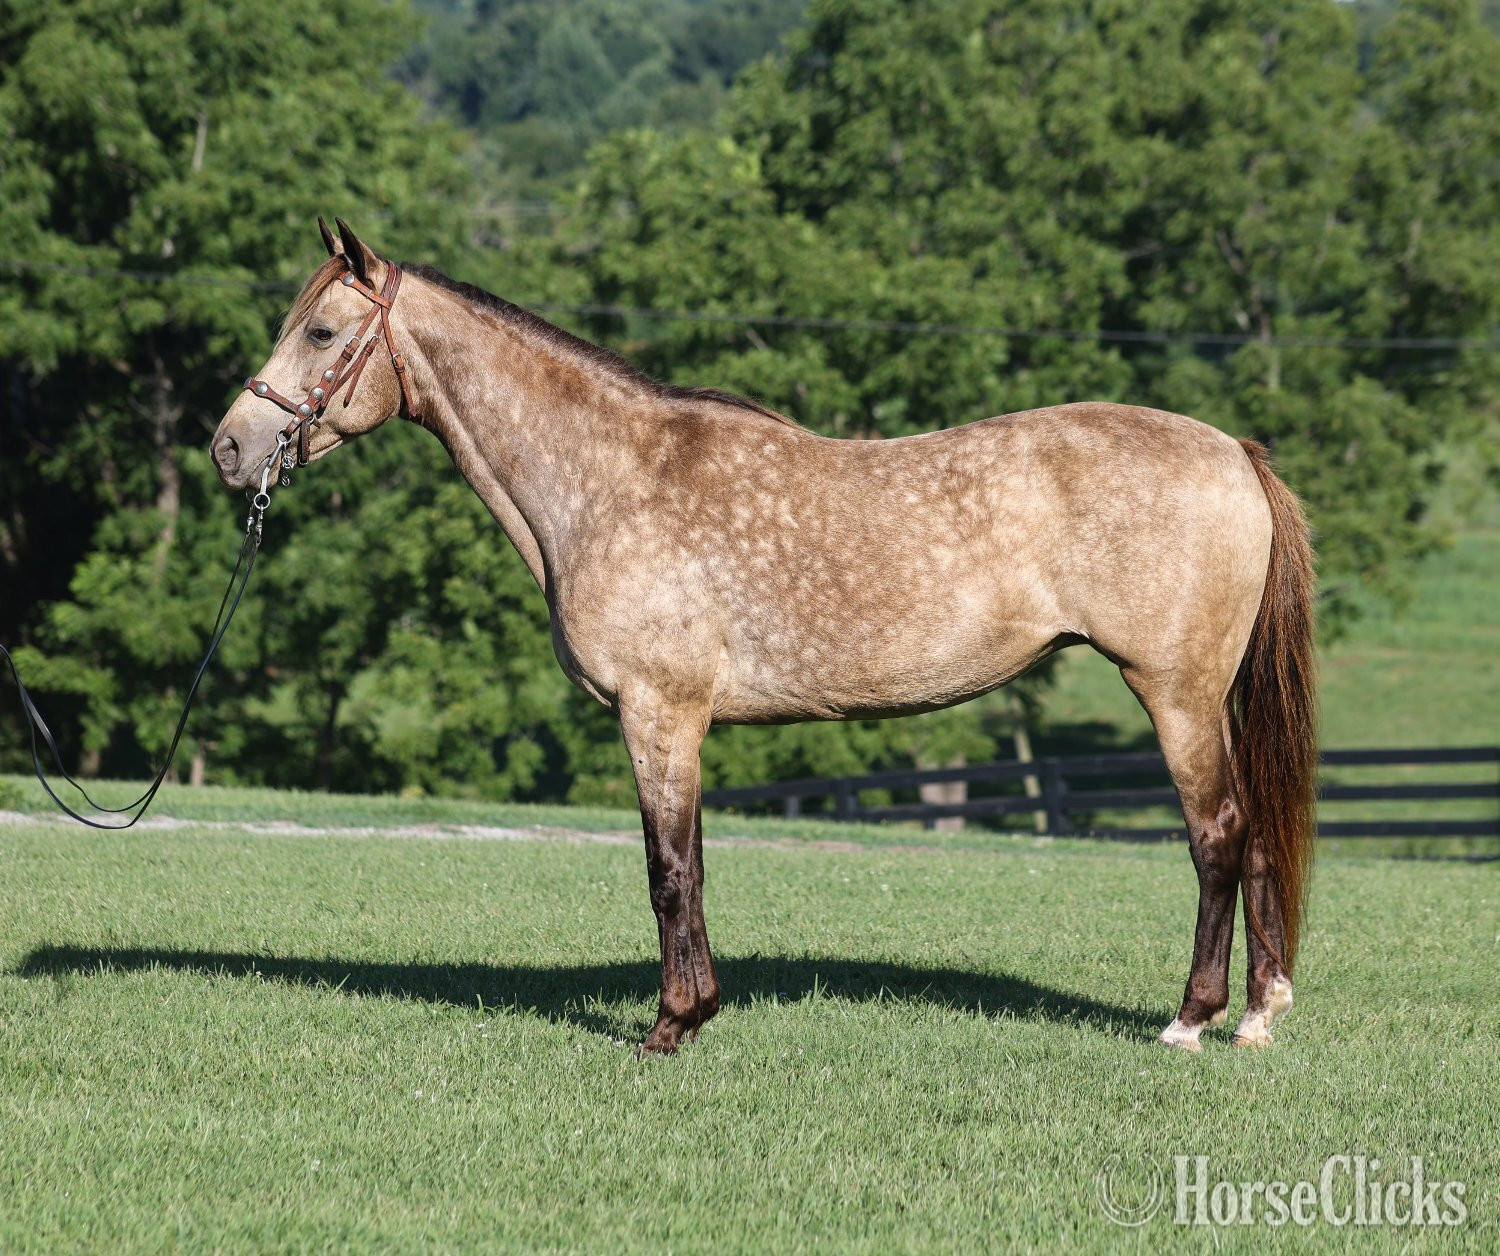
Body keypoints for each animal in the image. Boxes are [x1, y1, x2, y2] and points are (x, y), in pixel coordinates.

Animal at [212, 219, 1317, 1055]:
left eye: (321, 331)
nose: (229, 447)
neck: (615, 476)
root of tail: (1234, 451)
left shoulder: (658, 713)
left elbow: (667, 870)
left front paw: (669, 1025)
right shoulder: (683, 722)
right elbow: (693, 861)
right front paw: (699, 1009)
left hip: (1173, 693)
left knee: (1218, 833)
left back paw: (1192, 1019)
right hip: (1211, 698)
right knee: (1258, 831)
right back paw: (1260, 1015)